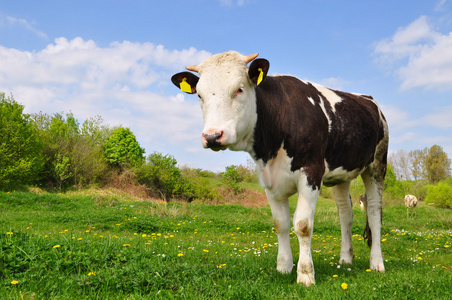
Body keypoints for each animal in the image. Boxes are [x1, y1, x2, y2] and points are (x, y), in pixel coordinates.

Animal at [170, 51, 388, 286]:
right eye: (199, 96)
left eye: (239, 89)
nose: (212, 136)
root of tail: (368, 99)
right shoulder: (268, 179)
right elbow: (280, 224)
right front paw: (284, 267)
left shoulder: (311, 173)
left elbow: (302, 225)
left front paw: (305, 275)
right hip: (342, 173)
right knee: (345, 212)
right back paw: (346, 258)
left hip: (377, 165)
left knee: (374, 211)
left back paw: (377, 263)